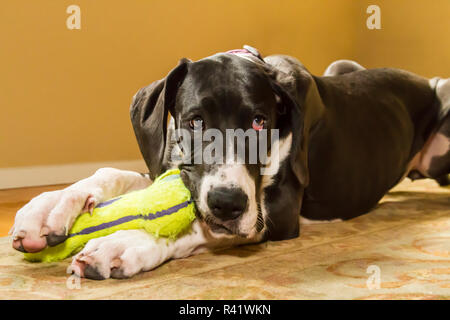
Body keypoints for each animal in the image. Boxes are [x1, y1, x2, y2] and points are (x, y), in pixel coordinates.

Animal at [8, 45, 448, 280]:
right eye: (195, 121)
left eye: (260, 122)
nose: (227, 204)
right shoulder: (172, 168)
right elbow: (113, 173)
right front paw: (47, 209)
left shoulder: (277, 213)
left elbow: (198, 228)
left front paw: (125, 243)